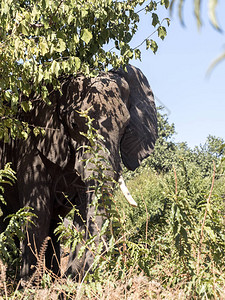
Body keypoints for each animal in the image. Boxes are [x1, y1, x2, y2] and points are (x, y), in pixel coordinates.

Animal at [0, 63, 157, 282]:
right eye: (74, 124)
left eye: (125, 126)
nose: (72, 272)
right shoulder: (30, 144)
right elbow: (37, 209)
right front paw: (29, 285)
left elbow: (83, 207)